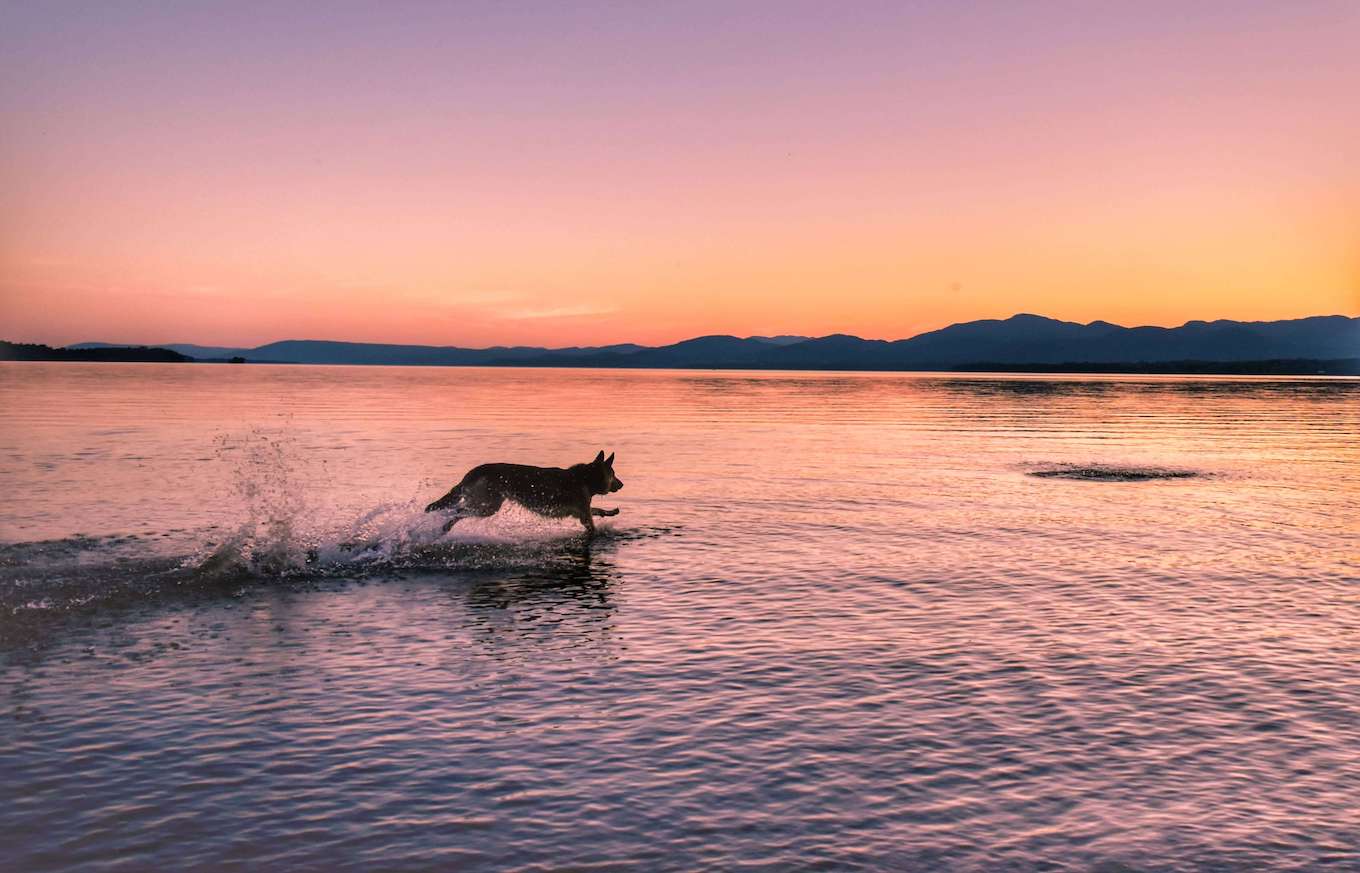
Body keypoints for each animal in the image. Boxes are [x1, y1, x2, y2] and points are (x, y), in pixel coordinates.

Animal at [421, 451, 622, 533]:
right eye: (614, 474)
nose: (622, 484)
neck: (586, 477)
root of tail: (474, 472)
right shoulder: (584, 517)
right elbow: (593, 526)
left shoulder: (581, 512)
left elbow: (597, 510)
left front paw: (611, 512)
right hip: (488, 507)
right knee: (458, 511)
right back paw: (446, 526)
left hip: (484, 504)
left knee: (457, 510)